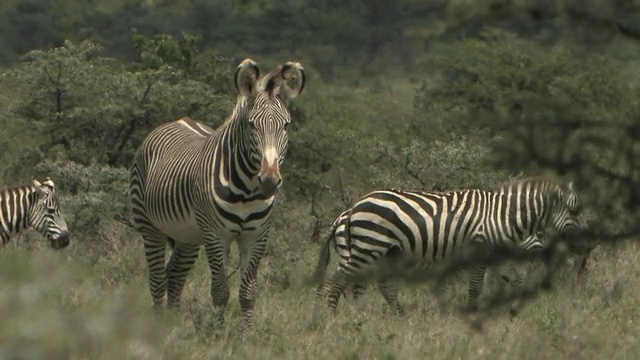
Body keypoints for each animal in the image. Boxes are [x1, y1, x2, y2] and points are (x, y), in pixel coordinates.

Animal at [129, 57, 304, 332]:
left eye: (286, 125)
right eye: (251, 125)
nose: (269, 181)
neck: (247, 191)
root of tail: (176, 121)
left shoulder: (257, 236)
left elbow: (249, 292)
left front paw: (248, 334)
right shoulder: (215, 235)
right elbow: (220, 290)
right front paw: (219, 333)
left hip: (188, 235)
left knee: (175, 274)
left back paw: (172, 321)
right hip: (149, 225)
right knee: (157, 278)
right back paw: (157, 324)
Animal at [312, 177, 588, 316]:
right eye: (575, 211)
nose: (583, 244)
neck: (500, 217)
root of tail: (354, 206)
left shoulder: (495, 255)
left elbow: (515, 280)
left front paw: (518, 309)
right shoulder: (480, 248)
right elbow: (476, 286)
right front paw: (473, 312)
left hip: (385, 251)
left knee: (379, 285)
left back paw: (394, 316)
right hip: (369, 245)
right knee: (338, 279)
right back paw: (332, 315)